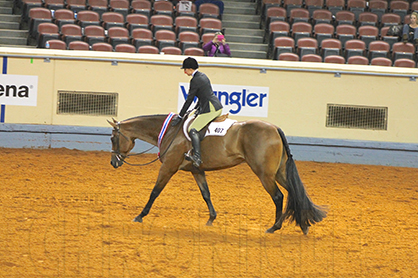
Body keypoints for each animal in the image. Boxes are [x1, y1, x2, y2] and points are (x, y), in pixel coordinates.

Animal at [108, 113, 326, 235]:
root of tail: (274, 128)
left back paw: (274, 227)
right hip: (278, 173)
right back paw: (304, 225)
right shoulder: (197, 171)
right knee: (295, 194)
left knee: (279, 196)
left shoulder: (168, 167)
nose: (113, 162)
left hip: (265, 175)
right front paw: (211, 219)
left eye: (112, 138)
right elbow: (206, 194)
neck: (171, 132)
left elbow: (155, 191)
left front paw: (140, 216)